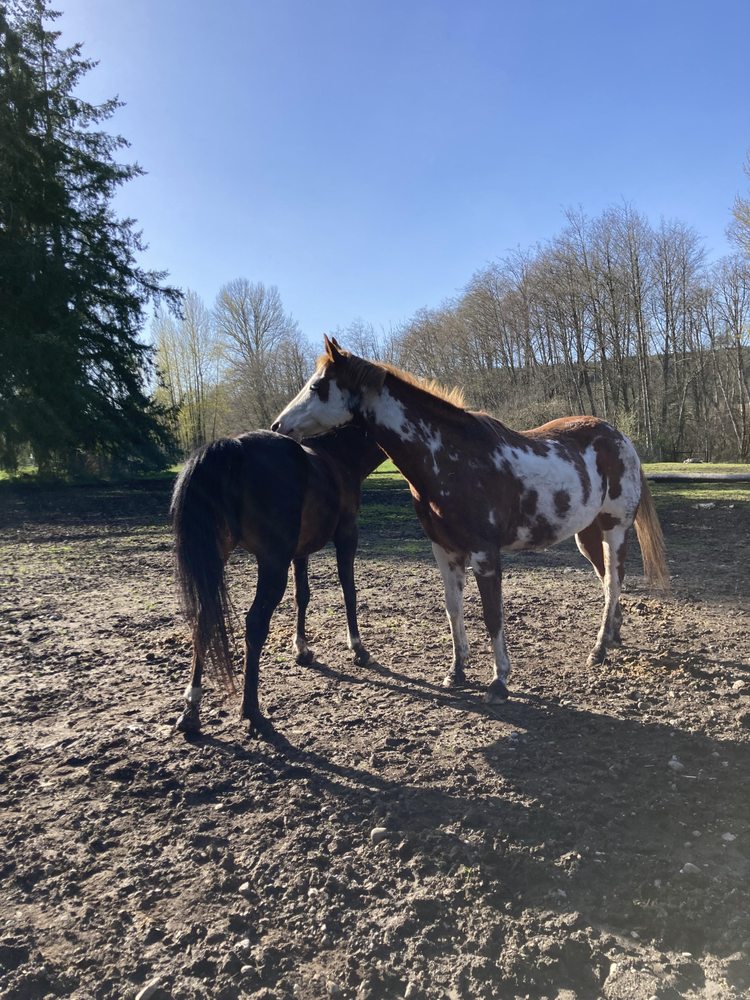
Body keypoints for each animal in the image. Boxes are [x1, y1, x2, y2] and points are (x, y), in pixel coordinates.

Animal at [170, 425, 384, 735]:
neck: (337, 456)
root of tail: (234, 447)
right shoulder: (346, 534)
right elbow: (349, 590)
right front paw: (358, 648)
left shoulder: (300, 552)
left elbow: (302, 596)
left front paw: (302, 649)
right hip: (272, 562)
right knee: (255, 623)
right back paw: (250, 710)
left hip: (216, 556)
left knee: (203, 618)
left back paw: (191, 708)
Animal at [272, 336, 669, 703]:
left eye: (317, 386)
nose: (278, 426)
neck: (450, 458)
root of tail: (619, 438)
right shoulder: (445, 551)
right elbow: (454, 610)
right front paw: (457, 671)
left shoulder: (484, 553)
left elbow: (493, 615)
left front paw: (499, 681)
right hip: (586, 536)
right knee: (609, 583)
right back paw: (613, 636)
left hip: (614, 529)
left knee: (613, 584)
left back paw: (599, 649)